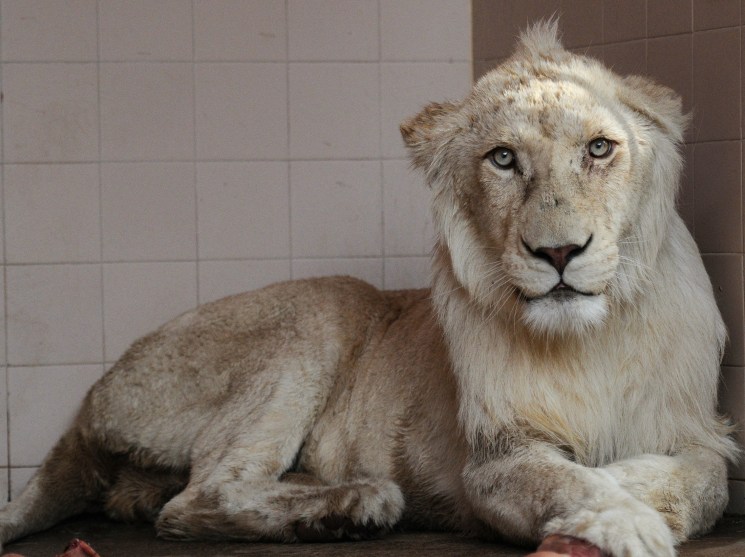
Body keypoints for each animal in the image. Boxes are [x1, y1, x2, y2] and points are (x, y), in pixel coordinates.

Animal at [0, 22, 736, 557]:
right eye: (502, 158)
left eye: (599, 148)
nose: (556, 252)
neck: (588, 338)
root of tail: (90, 399)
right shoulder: (494, 454)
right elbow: (555, 476)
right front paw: (622, 521)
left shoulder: (691, 427)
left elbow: (706, 483)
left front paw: (627, 489)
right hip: (322, 311)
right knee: (199, 498)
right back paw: (356, 504)